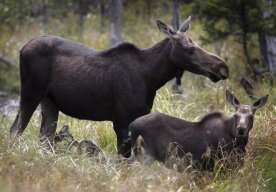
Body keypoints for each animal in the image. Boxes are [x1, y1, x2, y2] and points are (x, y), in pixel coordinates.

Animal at [10, 16, 229, 158]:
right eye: (188, 48)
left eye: (196, 43)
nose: (222, 67)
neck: (151, 78)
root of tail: (22, 48)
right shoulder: (121, 120)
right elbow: (124, 159)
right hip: (30, 92)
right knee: (15, 130)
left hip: (50, 102)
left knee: (44, 138)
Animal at [130, 90, 268, 170]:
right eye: (236, 115)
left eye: (251, 116)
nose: (241, 129)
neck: (239, 144)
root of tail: (131, 126)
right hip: (144, 156)